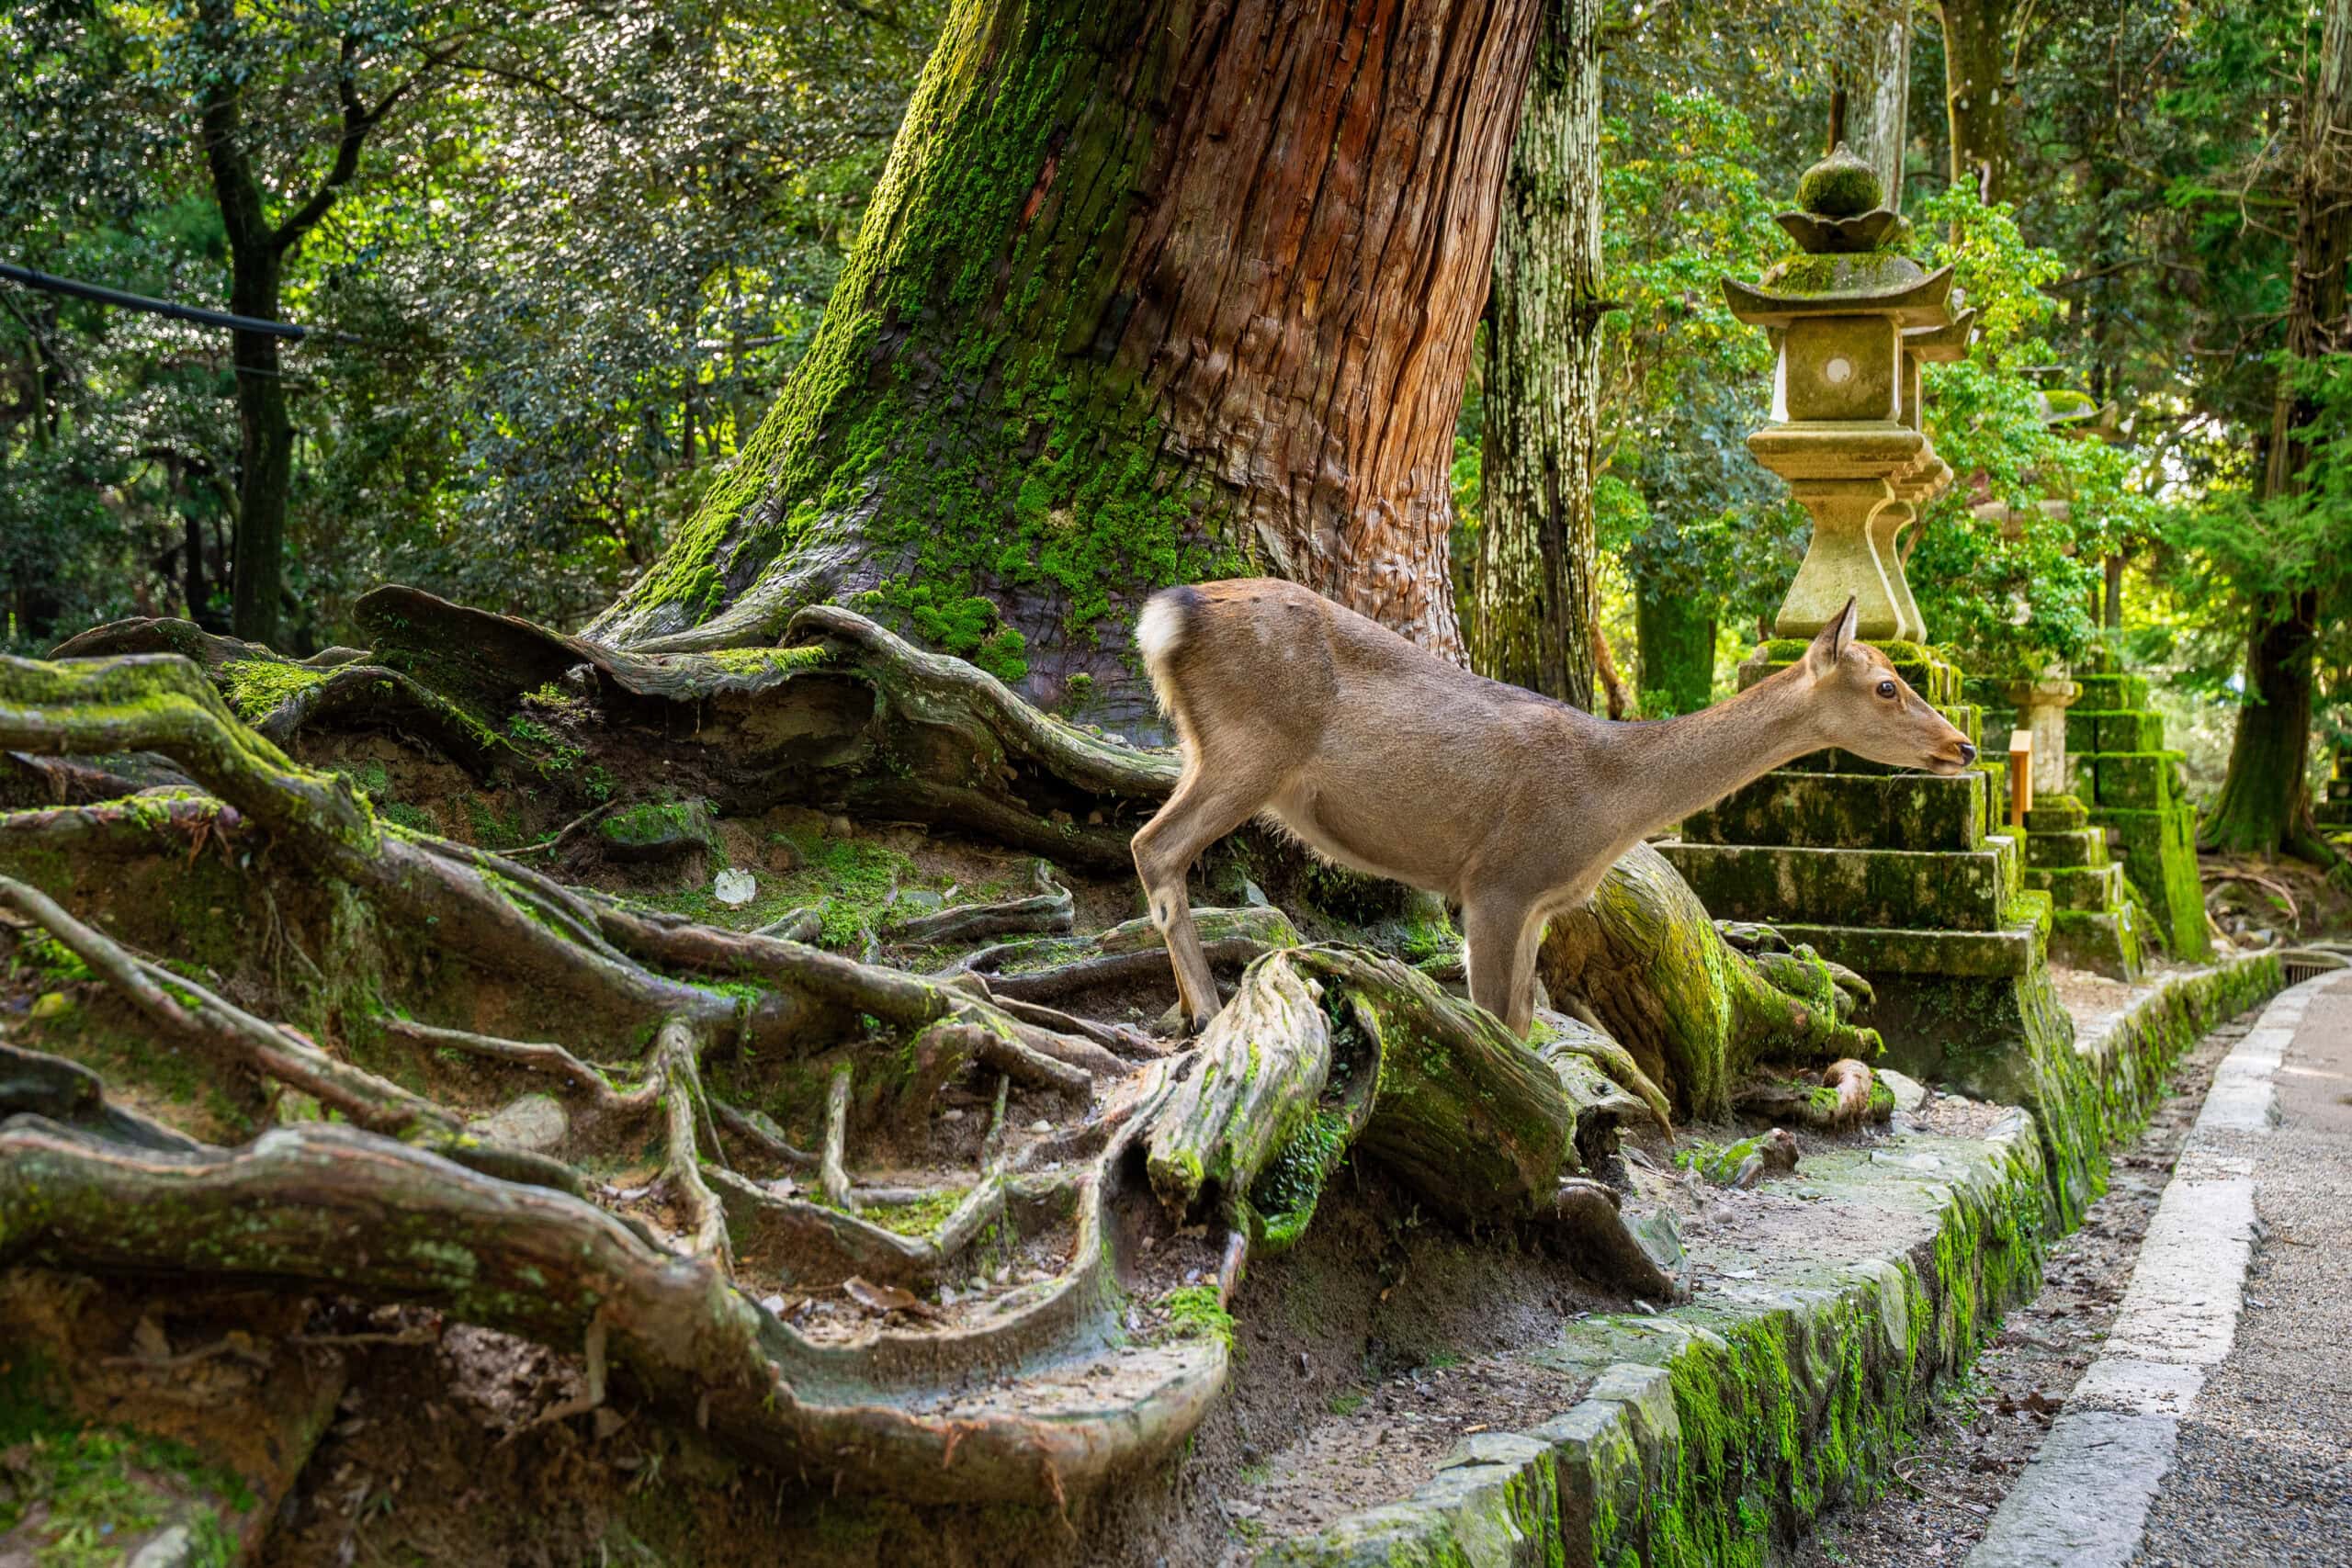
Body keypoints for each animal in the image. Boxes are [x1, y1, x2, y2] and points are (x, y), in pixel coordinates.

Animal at [1131, 578, 1977, 1039]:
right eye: (1887, 685)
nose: (1964, 745)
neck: (1608, 806)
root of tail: (1167, 616)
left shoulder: (1539, 902)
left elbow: (1526, 1017)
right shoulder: (1498, 879)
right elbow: (1493, 1016)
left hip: (1211, 747)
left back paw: (1185, 1008)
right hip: (1250, 748)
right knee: (1154, 846)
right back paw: (1208, 1010)